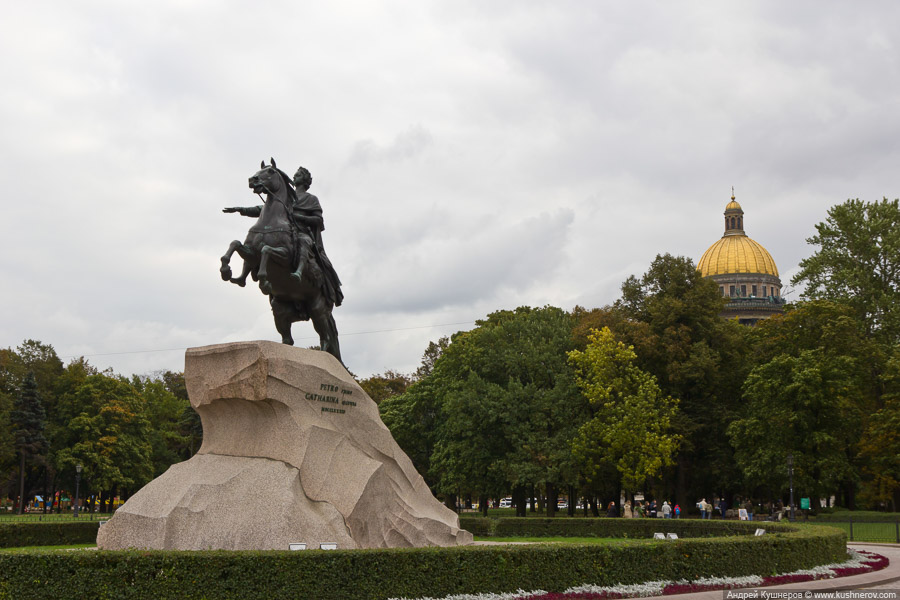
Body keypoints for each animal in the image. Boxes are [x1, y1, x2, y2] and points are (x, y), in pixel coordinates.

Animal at [221, 158, 342, 360]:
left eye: (270, 172)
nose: (252, 180)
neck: (271, 219)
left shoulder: (284, 257)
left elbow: (267, 250)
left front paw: (264, 280)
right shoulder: (250, 252)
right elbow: (235, 244)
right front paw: (226, 271)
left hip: (318, 309)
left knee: (325, 337)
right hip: (280, 310)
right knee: (288, 340)